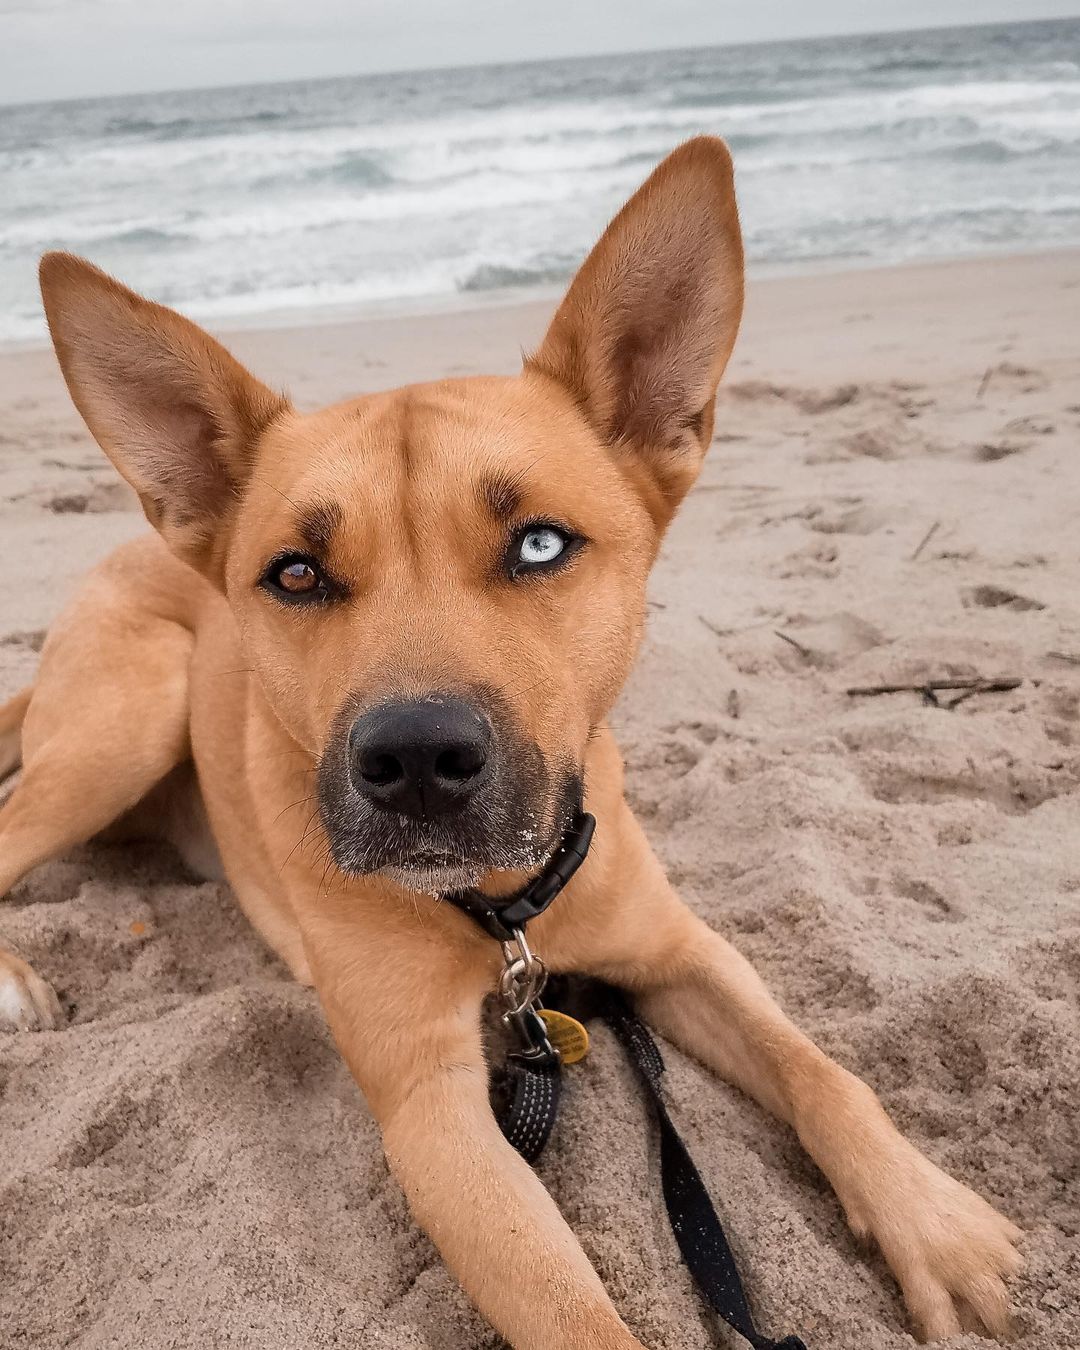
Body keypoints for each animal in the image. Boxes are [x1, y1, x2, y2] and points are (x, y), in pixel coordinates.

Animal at [0, 139, 1015, 1350]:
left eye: (539, 544)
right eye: (296, 573)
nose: (415, 762)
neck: (504, 910)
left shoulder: (684, 954)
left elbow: (821, 1070)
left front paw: (930, 1219)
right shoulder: (433, 1113)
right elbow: (572, 1313)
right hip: (132, 710)